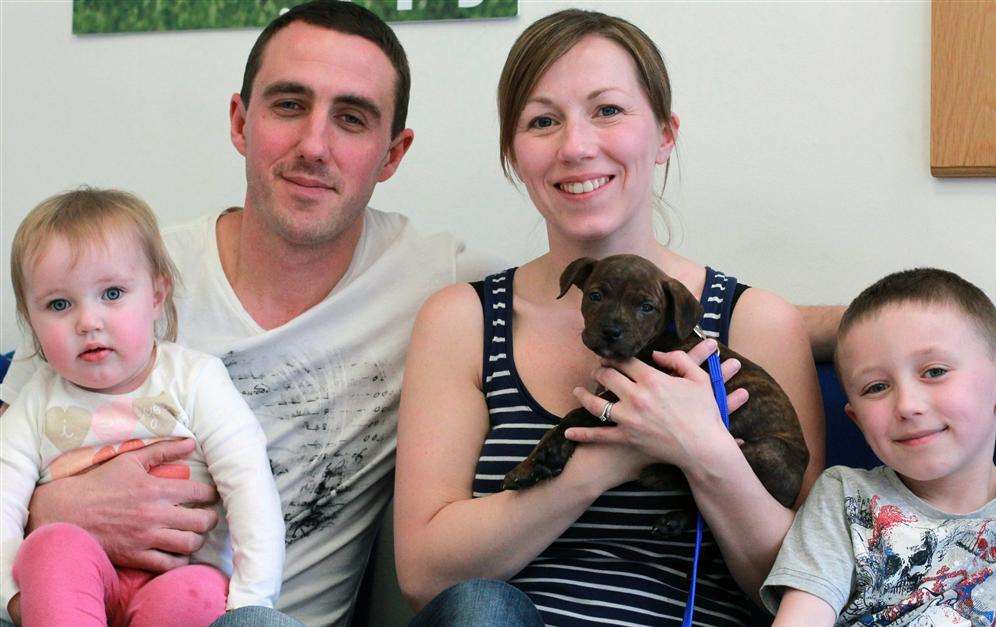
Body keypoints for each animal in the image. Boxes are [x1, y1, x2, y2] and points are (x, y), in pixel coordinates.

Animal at [506, 254, 808, 536]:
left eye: (647, 307)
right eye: (595, 296)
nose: (611, 331)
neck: (656, 341)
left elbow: (575, 415)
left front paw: (534, 462)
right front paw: (541, 463)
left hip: (766, 452)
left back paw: (661, 477)